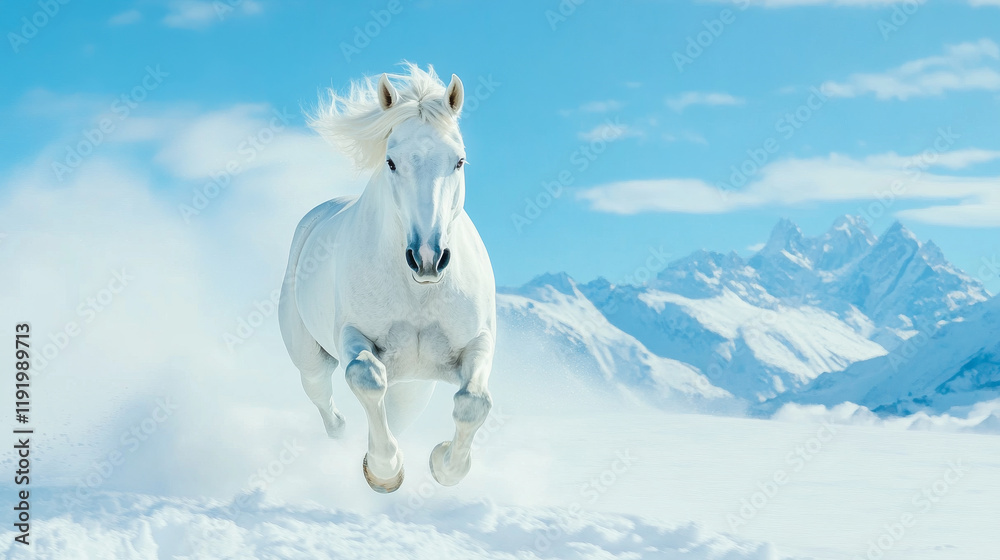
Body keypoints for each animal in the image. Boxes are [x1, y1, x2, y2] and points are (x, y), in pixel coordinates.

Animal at [278, 64, 496, 493]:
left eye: (459, 161)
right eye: (392, 162)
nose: (428, 259)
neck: (419, 294)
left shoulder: (478, 342)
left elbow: (473, 402)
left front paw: (444, 464)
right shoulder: (353, 335)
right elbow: (364, 377)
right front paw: (384, 470)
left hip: (414, 385)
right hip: (311, 359)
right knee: (327, 402)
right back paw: (344, 433)